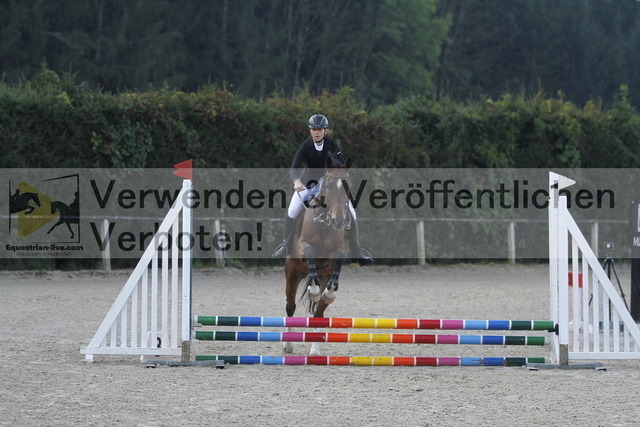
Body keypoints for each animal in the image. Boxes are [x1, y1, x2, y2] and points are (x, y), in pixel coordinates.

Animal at [283, 155, 352, 355]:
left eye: (348, 186)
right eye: (328, 186)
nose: (339, 221)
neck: (324, 223)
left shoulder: (338, 252)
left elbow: (338, 261)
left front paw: (329, 292)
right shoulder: (303, 247)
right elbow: (310, 252)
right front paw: (313, 292)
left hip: (322, 276)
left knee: (318, 314)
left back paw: (314, 349)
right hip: (292, 273)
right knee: (290, 307)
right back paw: (287, 345)